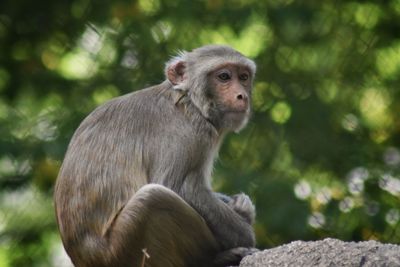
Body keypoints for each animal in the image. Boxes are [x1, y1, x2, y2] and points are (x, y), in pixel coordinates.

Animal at [54, 45, 256, 266]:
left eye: (244, 77)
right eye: (224, 76)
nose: (242, 96)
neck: (188, 101)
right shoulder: (188, 134)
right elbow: (177, 187)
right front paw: (245, 226)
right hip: (123, 249)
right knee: (153, 199)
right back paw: (213, 258)